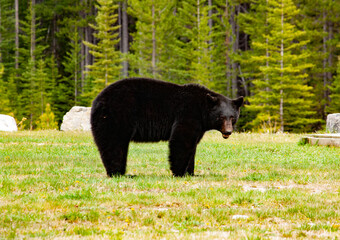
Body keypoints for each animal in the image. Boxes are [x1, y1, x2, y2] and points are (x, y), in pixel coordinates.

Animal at [90, 78, 243, 177]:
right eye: (221, 117)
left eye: (232, 117)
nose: (228, 131)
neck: (202, 109)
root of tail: (97, 100)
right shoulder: (188, 113)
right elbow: (182, 140)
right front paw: (179, 172)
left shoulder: (199, 124)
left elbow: (193, 145)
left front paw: (192, 173)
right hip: (117, 116)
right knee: (114, 144)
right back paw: (119, 173)